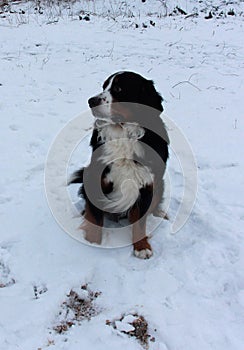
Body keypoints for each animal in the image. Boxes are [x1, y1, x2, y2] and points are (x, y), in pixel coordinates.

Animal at [69, 71, 169, 258]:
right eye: (104, 86)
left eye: (118, 89)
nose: (91, 101)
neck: (123, 135)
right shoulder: (96, 179)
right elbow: (95, 219)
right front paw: (92, 245)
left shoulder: (146, 183)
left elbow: (140, 223)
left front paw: (142, 246)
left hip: (159, 183)